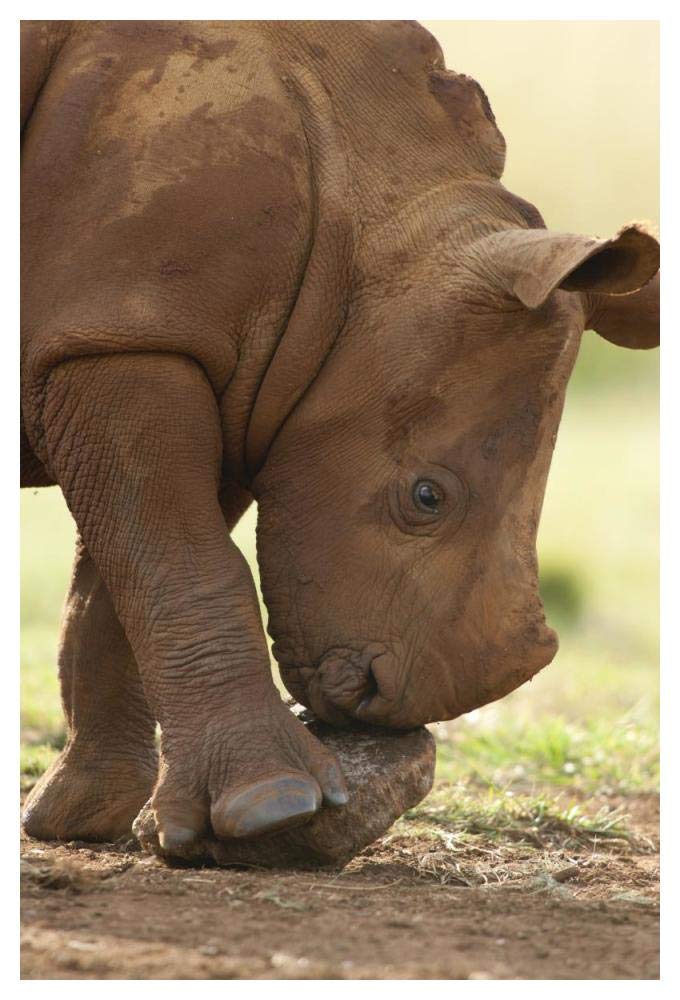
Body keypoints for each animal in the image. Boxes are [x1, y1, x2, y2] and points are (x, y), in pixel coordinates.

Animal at [21, 20, 659, 852]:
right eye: (426, 497)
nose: (393, 697)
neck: (363, 221)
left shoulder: (222, 366)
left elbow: (120, 577)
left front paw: (84, 820)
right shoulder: (121, 332)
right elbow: (180, 556)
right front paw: (271, 806)